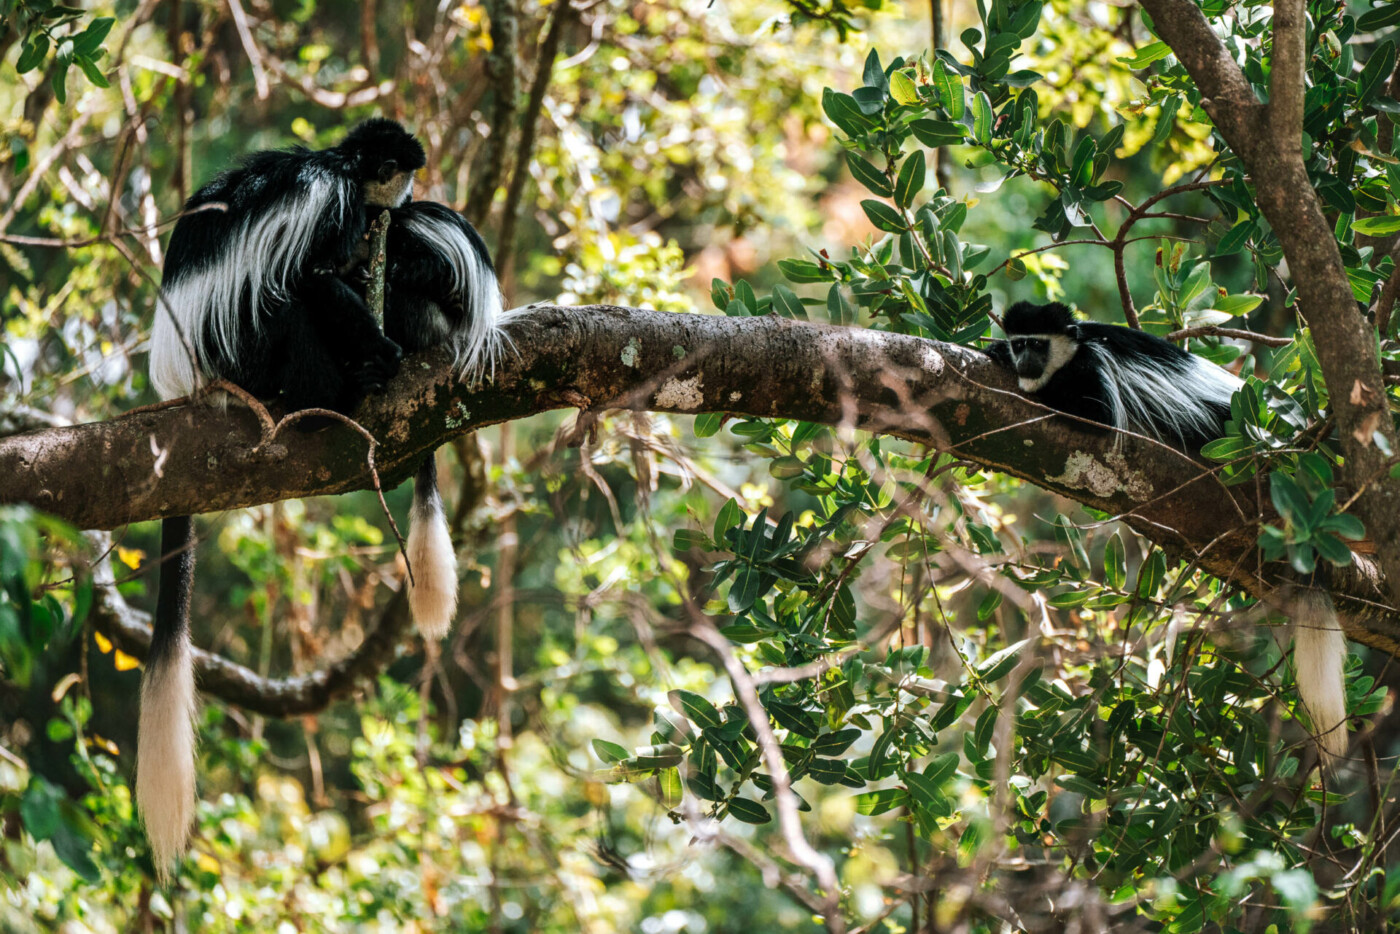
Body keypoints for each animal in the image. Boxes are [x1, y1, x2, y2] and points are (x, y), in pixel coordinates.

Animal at [991, 303, 1349, 772]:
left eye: (1037, 344)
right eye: (1020, 343)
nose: (1024, 362)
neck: (1074, 349)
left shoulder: (1093, 371)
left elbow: (1094, 417)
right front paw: (996, 352)